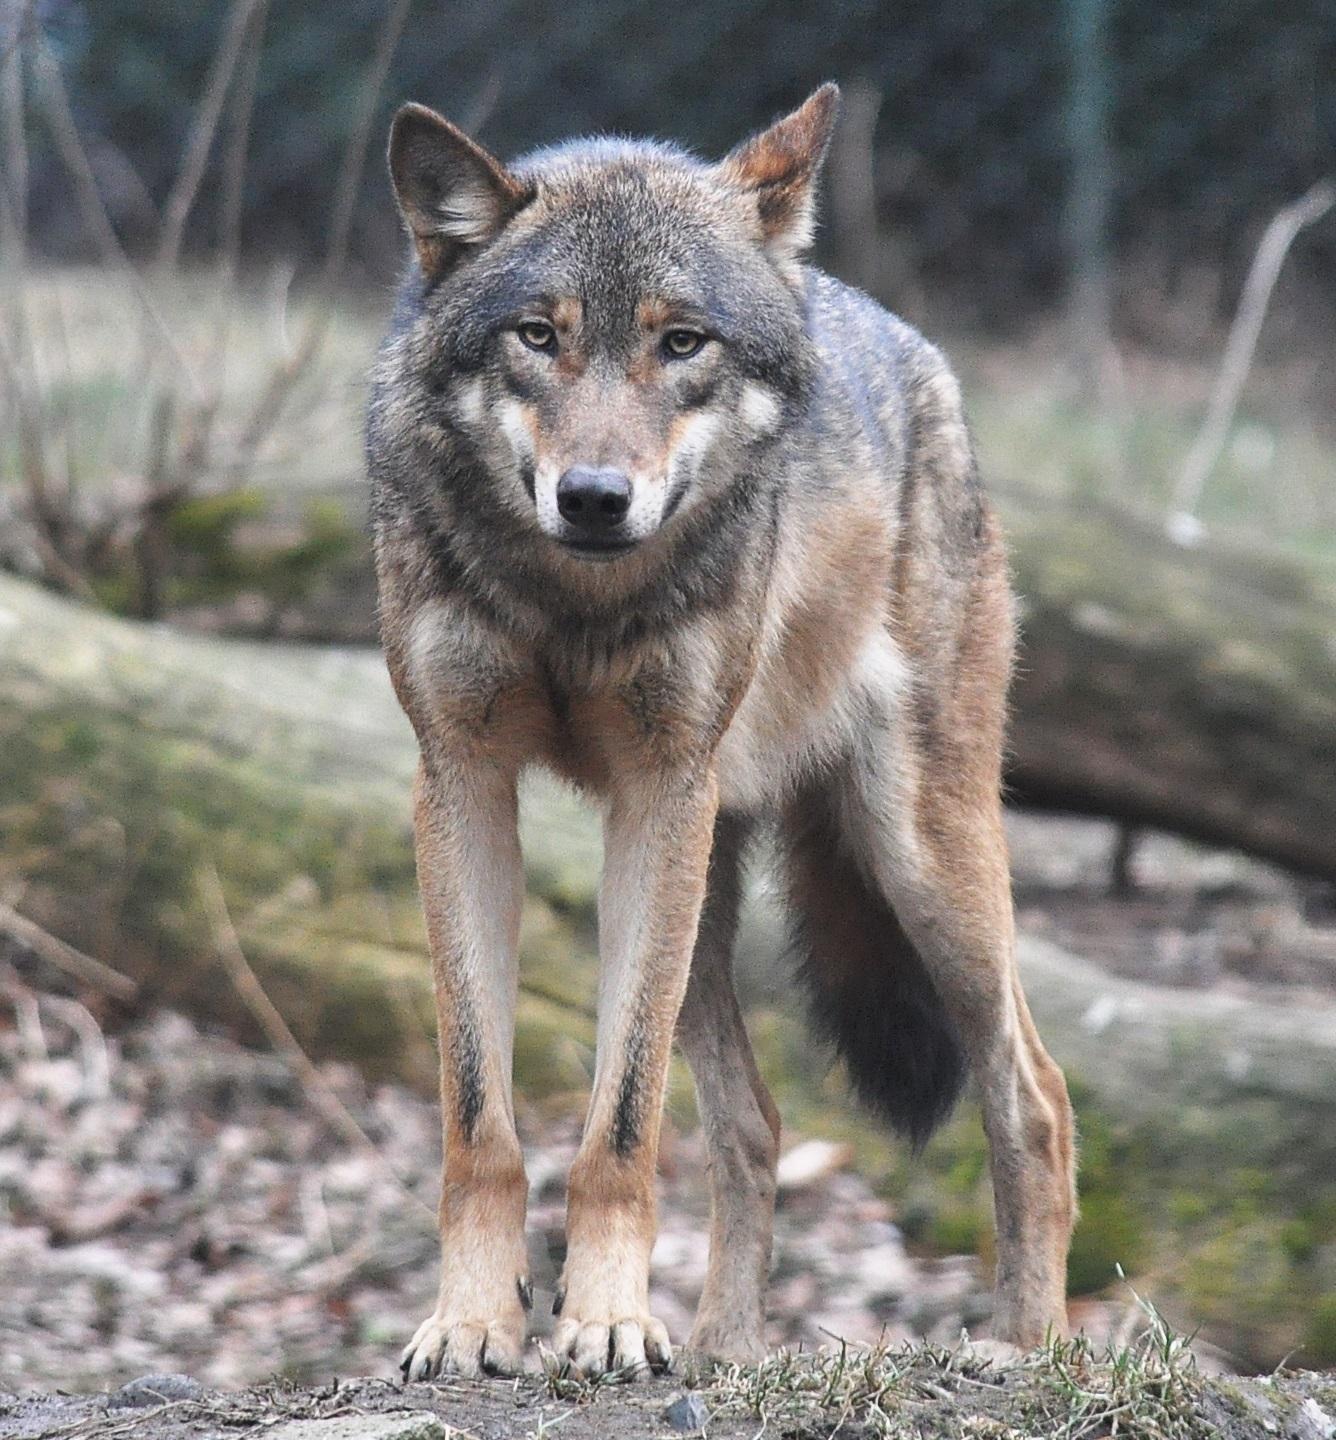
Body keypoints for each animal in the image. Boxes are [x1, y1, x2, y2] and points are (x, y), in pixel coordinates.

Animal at [371, 81, 1082, 1382]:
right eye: (537, 337)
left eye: (681, 342)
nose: (594, 498)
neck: (575, 603)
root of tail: (909, 345)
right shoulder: (460, 783)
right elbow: (480, 1118)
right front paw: (475, 1323)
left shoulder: (661, 787)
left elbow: (619, 1125)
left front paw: (602, 1324)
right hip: (701, 881)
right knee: (753, 1124)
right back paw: (724, 1353)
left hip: (911, 859)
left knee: (1034, 1095)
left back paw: (1028, 1349)